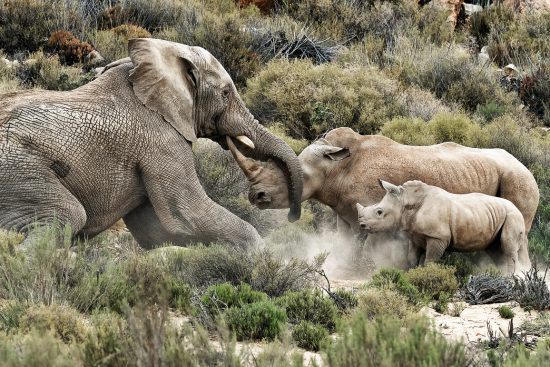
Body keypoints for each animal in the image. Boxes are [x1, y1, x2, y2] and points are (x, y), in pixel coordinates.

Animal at [0, 38, 306, 249]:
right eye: (226, 93)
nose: (292, 217)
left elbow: (157, 231)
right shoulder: (162, 141)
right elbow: (188, 215)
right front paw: (259, 258)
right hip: (17, 169)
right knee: (67, 215)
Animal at [356, 180, 532, 274]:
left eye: (379, 212)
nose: (362, 225)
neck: (406, 202)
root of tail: (517, 208)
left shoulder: (438, 237)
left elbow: (430, 260)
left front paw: (428, 275)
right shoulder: (414, 236)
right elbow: (411, 258)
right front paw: (412, 273)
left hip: (512, 216)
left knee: (508, 247)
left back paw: (511, 278)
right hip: (499, 216)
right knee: (496, 250)